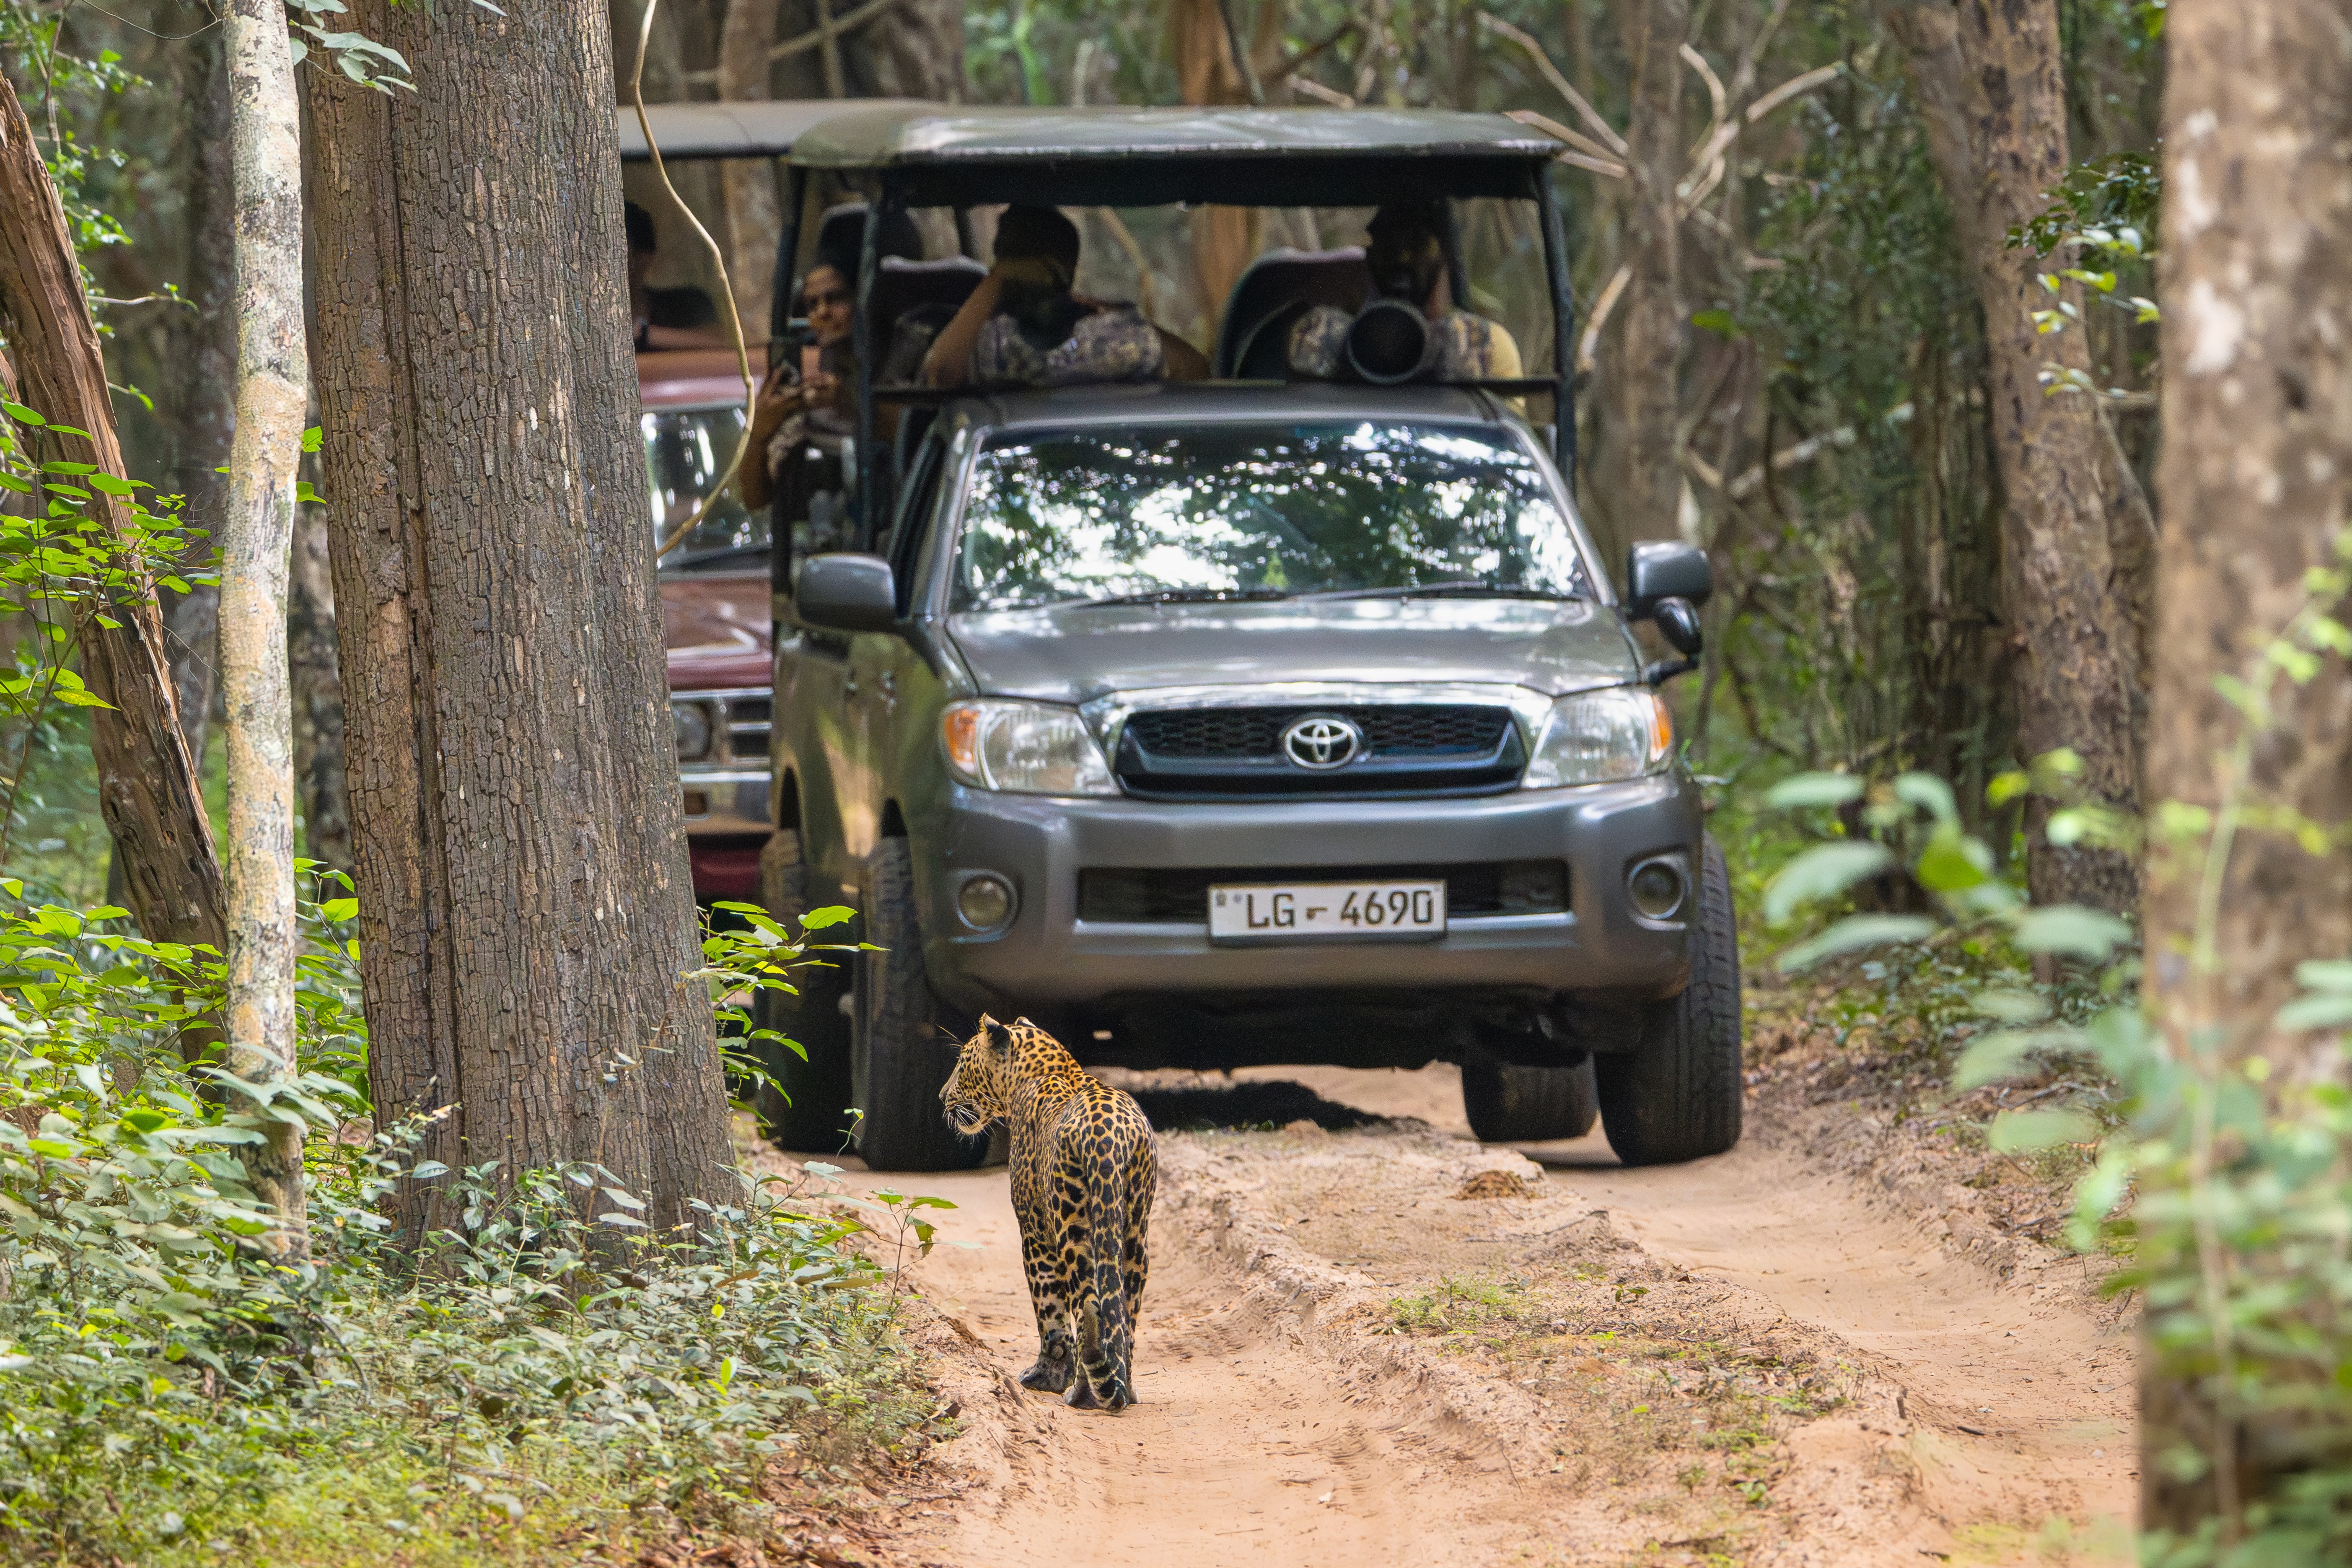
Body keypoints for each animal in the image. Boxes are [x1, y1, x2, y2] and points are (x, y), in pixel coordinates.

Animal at [940, 1014, 1155, 1411]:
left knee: (1087, 1306)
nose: (942, 1097)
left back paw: (1083, 1394)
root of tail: (1108, 1139)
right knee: (1124, 1312)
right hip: (1135, 1231)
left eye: (962, 1063)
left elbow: (1049, 1310)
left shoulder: (1034, 1230)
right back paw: (1125, 1388)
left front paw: (1046, 1377)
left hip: (1073, 1229)